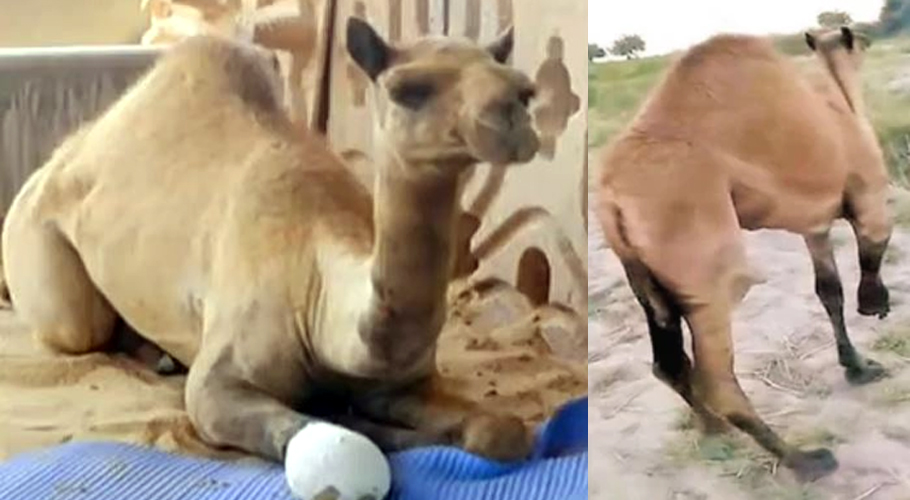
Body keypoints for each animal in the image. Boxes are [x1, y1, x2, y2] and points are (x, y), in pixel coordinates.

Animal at [2, 17, 539, 497]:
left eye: (521, 86)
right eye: (408, 89)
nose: (515, 108)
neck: (321, 293)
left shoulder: (401, 379)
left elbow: (501, 431)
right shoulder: (220, 380)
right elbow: (329, 439)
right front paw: (355, 423)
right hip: (36, 241)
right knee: (81, 328)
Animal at [595, 26, 890, 481]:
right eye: (858, 36)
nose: (869, 39)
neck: (840, 104)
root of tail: (611, 199)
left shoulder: (814, 225)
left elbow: (830, 292)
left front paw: (857, 367)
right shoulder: (870, 193)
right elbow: (871, 252)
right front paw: (876, 307)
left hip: (639, 272)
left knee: (668, 359)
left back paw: (713, 429)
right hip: (707, 261)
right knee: (718, 372)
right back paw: (804, 460)